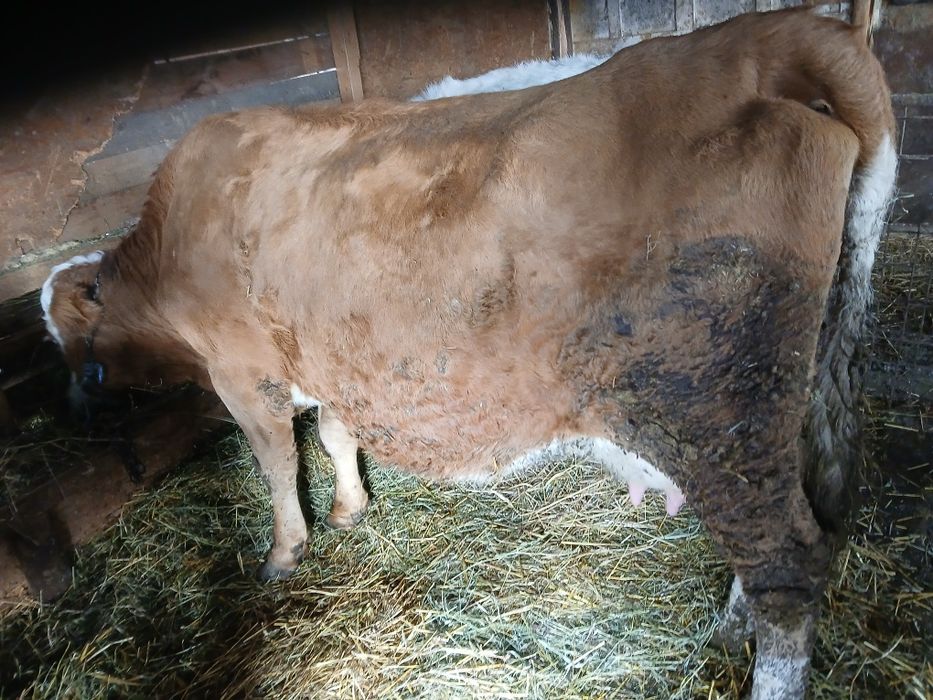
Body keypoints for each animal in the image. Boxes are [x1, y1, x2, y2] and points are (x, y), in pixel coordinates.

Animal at [41, 9, 896, 699]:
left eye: (66, 335)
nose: (76, 409)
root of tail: (758, 37)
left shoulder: (241, 371)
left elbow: (277, 462)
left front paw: (286, 550)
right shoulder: (337, 360)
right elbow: (336, 433)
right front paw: (350, 506)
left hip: (715, 407)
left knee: (786, 566)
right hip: (794, 394)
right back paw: (727, 627)